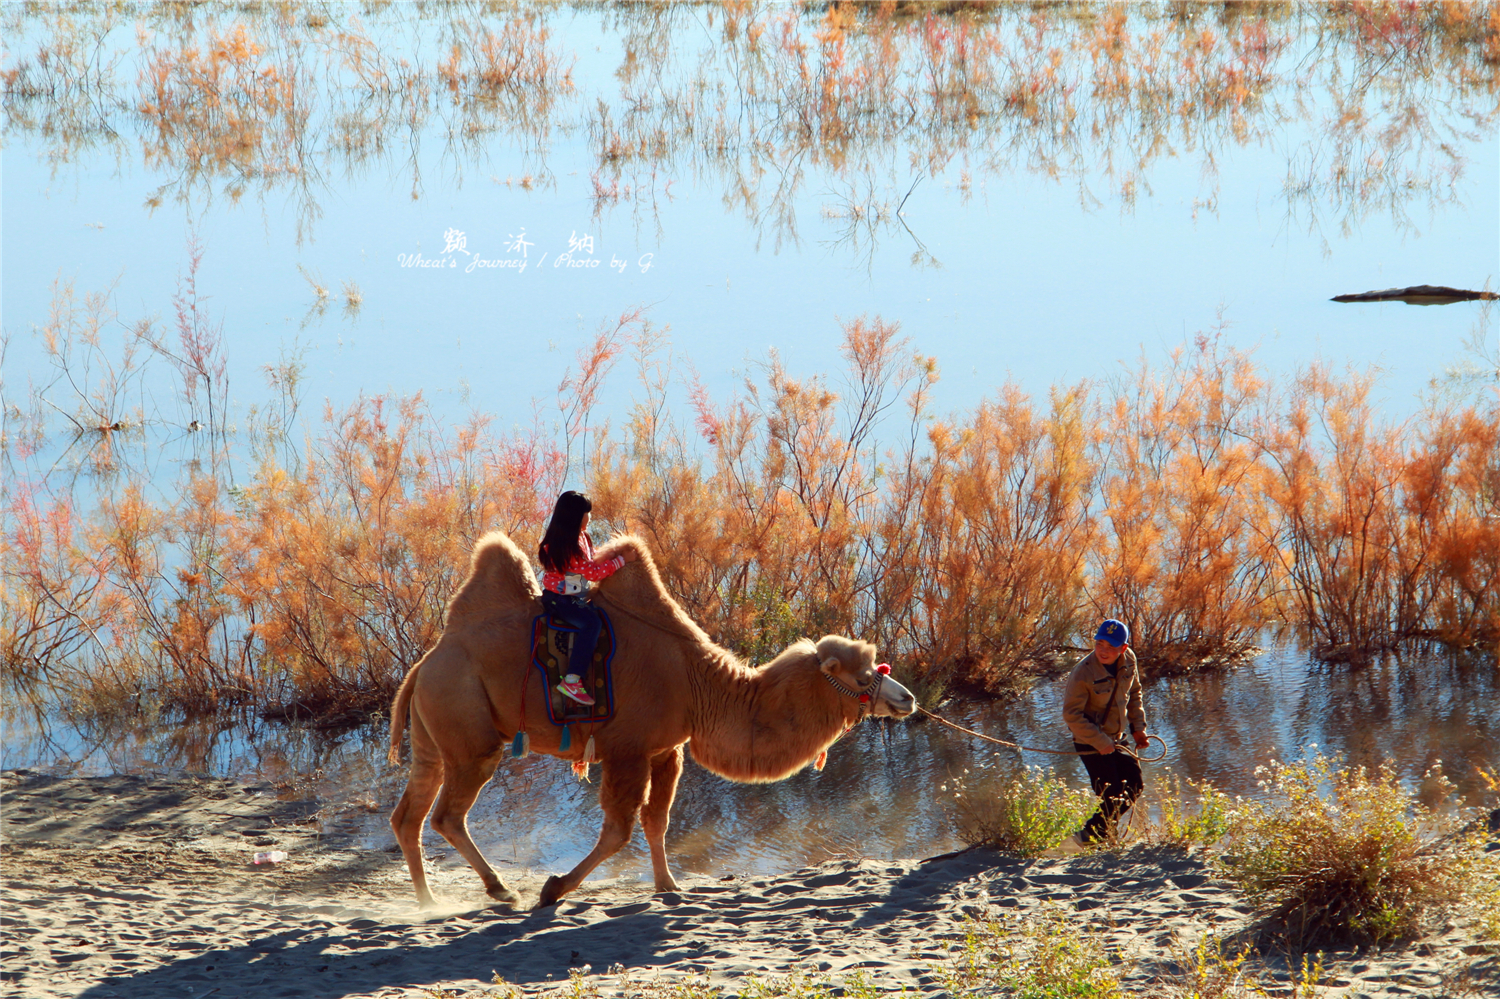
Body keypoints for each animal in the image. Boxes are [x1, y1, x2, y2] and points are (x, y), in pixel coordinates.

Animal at [387, 534, 918, 906]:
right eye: (864, 673)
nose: (908, 698)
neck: (698, 685)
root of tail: (423, 665)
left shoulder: (666, 750)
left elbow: (657, 822)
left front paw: (668, 886)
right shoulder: (628, 749)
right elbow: (619, 830)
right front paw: (554, 889)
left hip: (433, 735)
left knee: (408, 814)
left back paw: (427, 900)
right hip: (469, 728)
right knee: (447, 814)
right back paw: (499, 889)